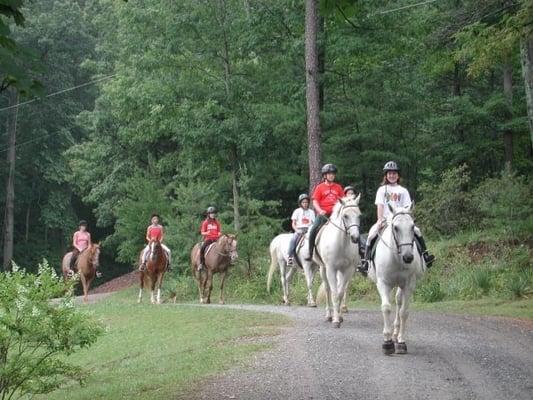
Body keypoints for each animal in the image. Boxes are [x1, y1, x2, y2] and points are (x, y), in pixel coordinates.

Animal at [312, 195, 362, 328]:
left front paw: (339, 317)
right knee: (327, 289)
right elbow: (334, 293)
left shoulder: (348, 270)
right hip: (323, 269)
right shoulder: (331, 269)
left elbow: (340, 293)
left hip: (340, 271)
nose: (355, 238)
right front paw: (335, 320)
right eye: (345, 216)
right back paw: (328, 315)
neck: (341, 244)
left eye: (359, 215)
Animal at [368, 205, 426, 354]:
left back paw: (395, 334)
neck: (396, 258)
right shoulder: (383, 284)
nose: (408, 257)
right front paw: (387, 342)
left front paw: (400, 342)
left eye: (412, 226)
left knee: (399, 302)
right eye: (395, 227)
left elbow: (404, 312)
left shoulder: (409, 285)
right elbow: (386, 308)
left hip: (400, 285)